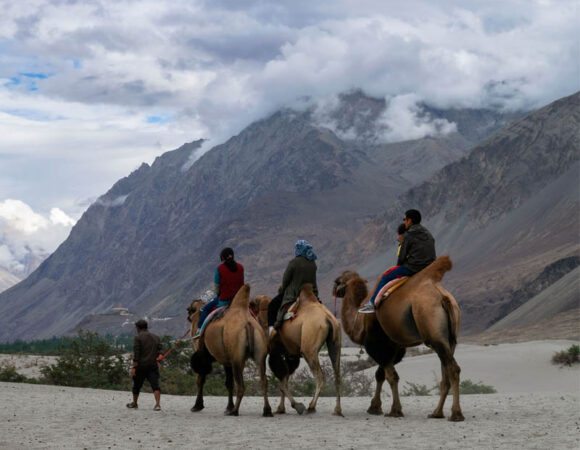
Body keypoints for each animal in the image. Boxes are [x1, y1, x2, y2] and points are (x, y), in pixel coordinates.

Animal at [188, 286, 274, 416]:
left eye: (189, 310)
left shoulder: (204, 355)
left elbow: (200, 379)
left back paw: (234, 411)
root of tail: (248, 324)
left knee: (241, 386)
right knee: (263, 381)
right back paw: (267, 410)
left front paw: (197, 405)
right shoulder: (227, 360)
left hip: (236, 358)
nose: (188, 317)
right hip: (258, 355)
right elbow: (229, 383)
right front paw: (228, 406)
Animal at [250, 284, 342, 414]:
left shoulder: (275, 352)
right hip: (335, 343)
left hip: (309, 350)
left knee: (320, 377)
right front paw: (281, 408)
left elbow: (282, 379)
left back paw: (311, 406)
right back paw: (337, 409)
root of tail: (328, 319)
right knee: (337, 375)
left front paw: (295, 406)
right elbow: (285, 377)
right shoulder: (290, 354)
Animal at [334, 256, 464, 422]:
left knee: (453, 369)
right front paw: (375, 407)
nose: (334, 289)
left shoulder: (377, 344)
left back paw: (456, 414)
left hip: (434, 333)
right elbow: (381, 375)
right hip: (449, 339)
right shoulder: (396, 347)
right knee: (446, 373)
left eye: (338, 281)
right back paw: (437, 413)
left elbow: (391, 376)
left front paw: (394, 410)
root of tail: (444, 298)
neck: (359, 319)